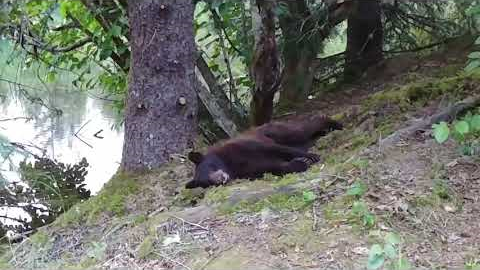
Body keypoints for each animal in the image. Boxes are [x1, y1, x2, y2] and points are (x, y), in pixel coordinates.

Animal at [186, 113, 344, 188]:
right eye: (207, 183)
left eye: (209, 167)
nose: (221, 179)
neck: (229, 165)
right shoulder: (246, 170)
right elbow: (270, 167)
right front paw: (299, 163)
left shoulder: (243, 148)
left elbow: (278, 150)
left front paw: (310, 156)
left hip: (276, 132)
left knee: (302, 130)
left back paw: (335, 123)